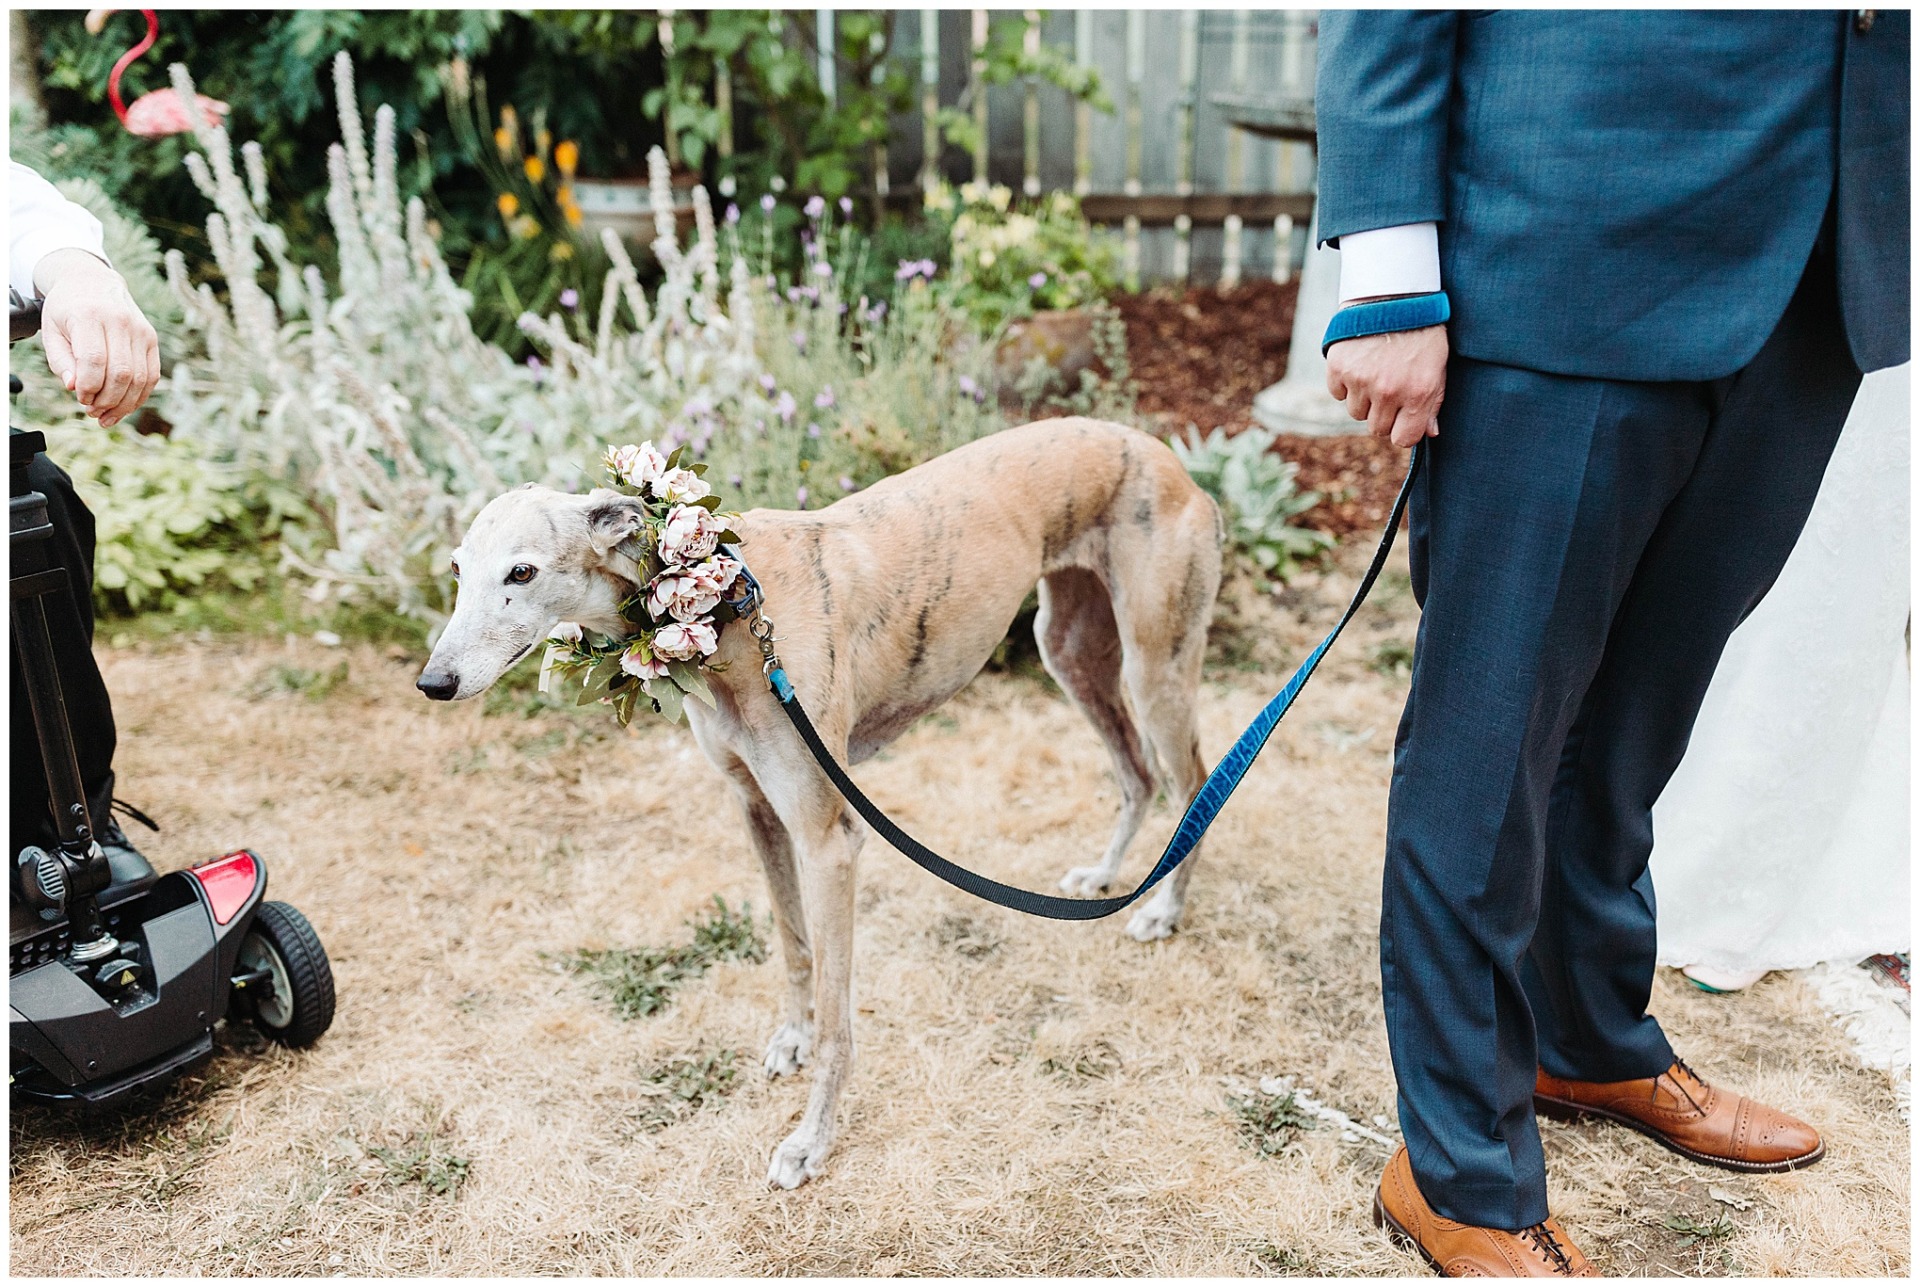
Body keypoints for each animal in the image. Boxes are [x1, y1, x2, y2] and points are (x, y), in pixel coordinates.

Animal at [422, 420, 1228, 1190]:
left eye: (522, 570)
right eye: (457, 569)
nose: (434, 682)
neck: (731, 611)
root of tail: (1168, 457)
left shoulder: (829, 838)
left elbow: (841, 1015)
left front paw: (811, 1139)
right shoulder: (756, 807)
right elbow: (792, 943)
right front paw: (792, 1039)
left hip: (1155, 662)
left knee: (1192, 779)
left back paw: (1165, 909)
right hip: (1070, 647)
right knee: (1137, 775)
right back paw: (1108, 876)